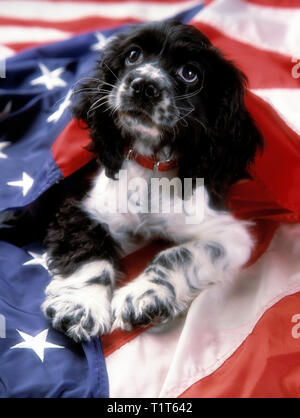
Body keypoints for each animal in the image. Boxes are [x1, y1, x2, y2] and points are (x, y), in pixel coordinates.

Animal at [41, 21, 262, 342]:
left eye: (190, 73)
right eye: (133, 55)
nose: (143, 85)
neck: (152, 165)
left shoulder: (229, 234)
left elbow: (177, 254)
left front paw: (144, 296)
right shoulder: (87, 208)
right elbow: (89, 249)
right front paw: (81, 306)